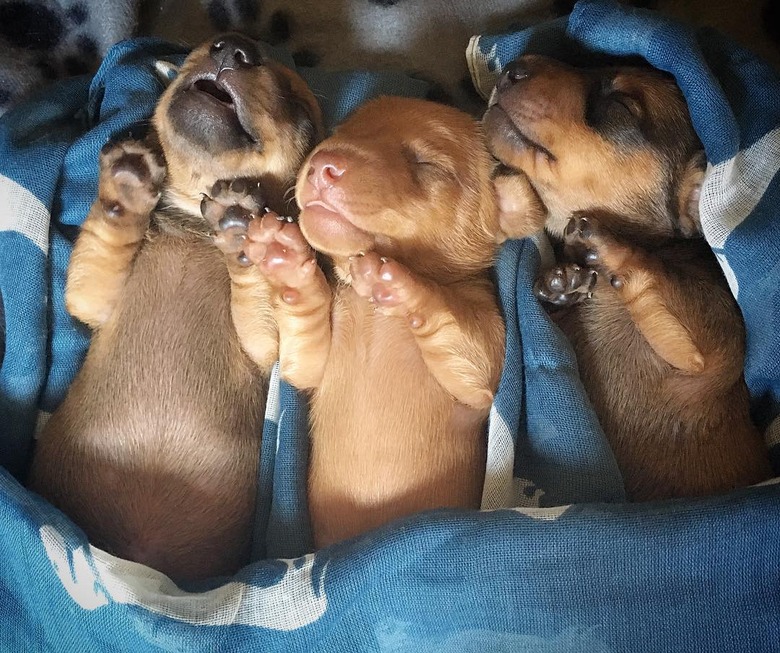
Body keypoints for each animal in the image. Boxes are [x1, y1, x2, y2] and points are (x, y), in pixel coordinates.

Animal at [27, 33, 320, 580]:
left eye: (296, 102)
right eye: (207, 46)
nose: (233, 48)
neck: (194, 224)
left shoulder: (265, 346)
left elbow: (258, 298)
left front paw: (244, 232)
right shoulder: (92, 297)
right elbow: (104, 244)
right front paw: (125, 188)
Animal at [484, 54, 772, 500]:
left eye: (619, 104)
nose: (514, 65)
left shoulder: (715, 349)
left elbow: (657, 273)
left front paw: (604, 244)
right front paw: (563, 282)